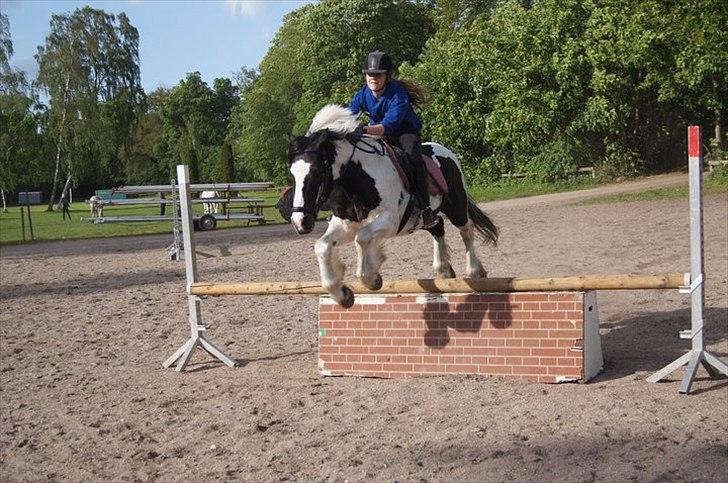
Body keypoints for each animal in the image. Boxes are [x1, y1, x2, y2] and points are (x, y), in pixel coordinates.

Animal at [288, 105, 498, 308]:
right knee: (438, 226)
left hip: (456, 206)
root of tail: (446, 151)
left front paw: (372, 278)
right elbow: (322, 246)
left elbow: (361, 238)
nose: (300, 222)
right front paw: (342, 294)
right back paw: (444, 270)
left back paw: (475, 271)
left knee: (466, 230)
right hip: (425, 219)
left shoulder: (390, 220)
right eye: (292, 173)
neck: (356, 178)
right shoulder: (346, 224)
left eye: (315, 172)